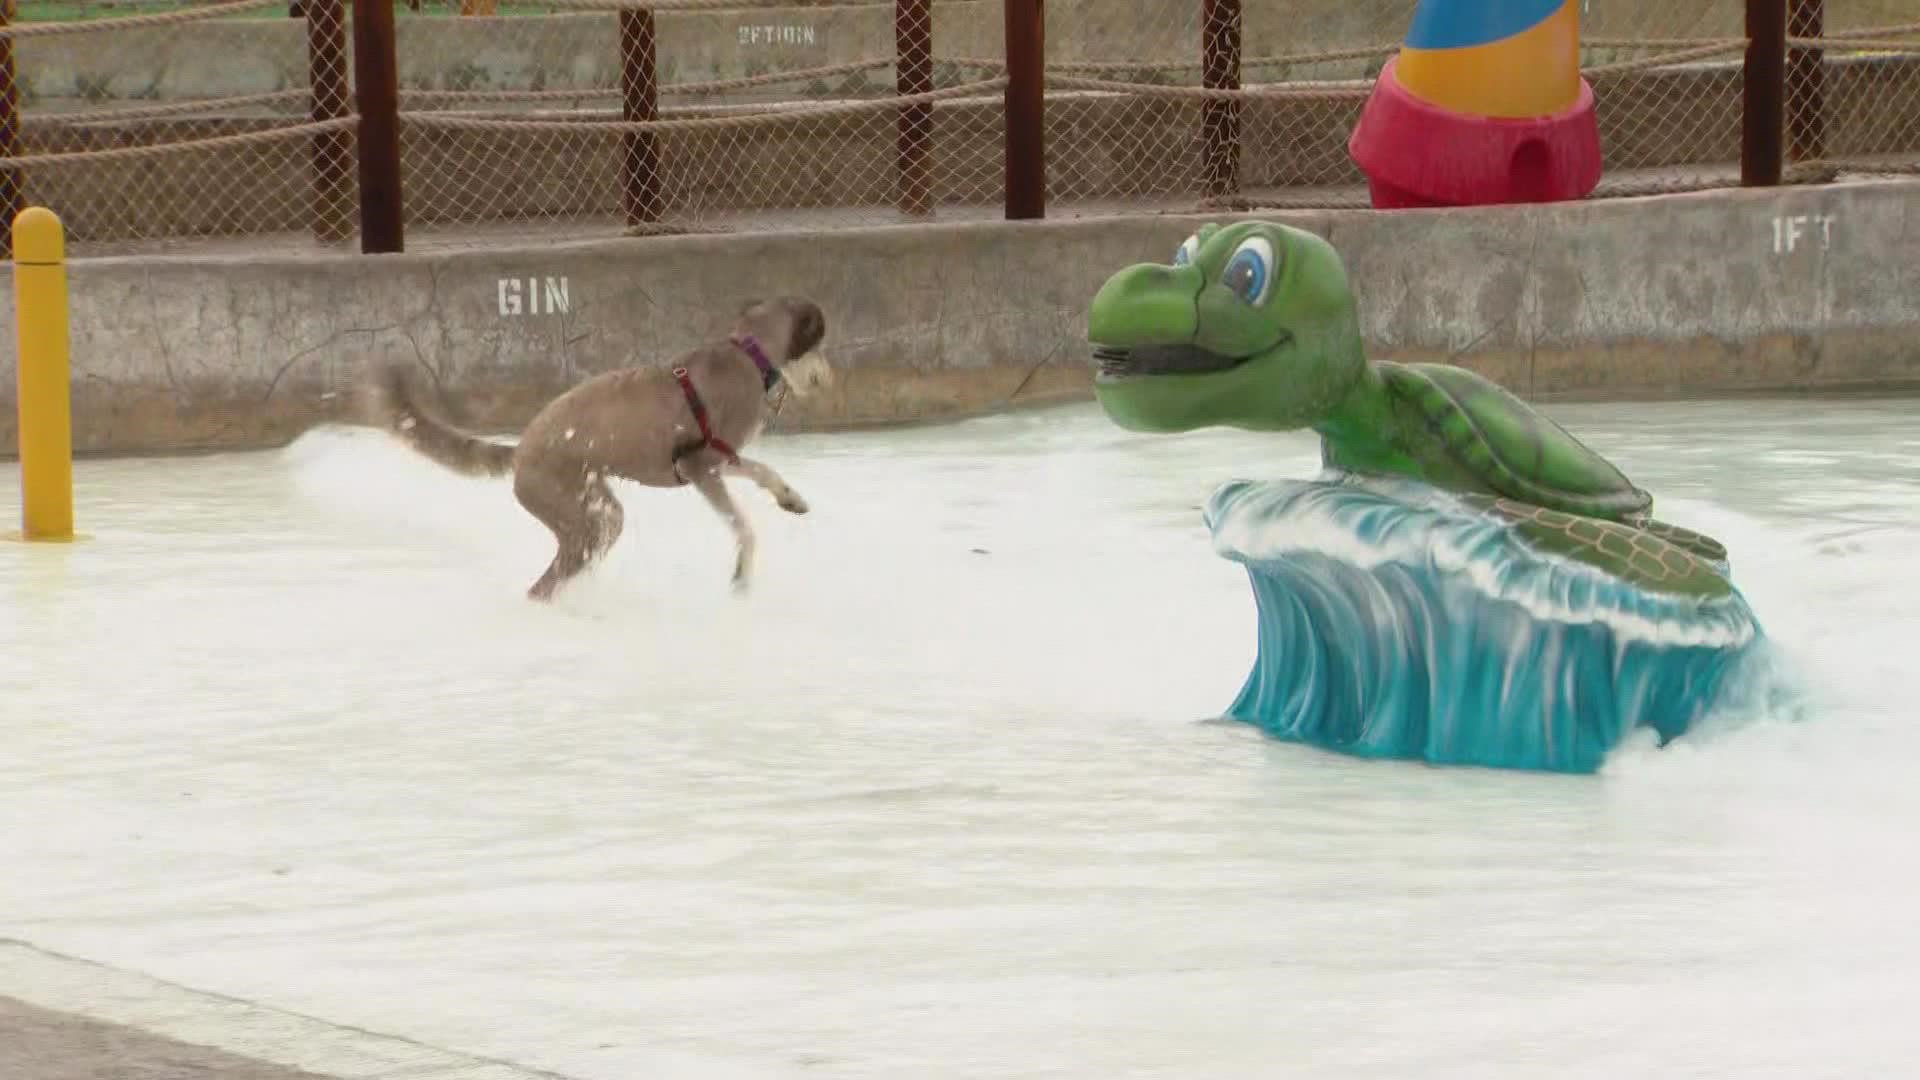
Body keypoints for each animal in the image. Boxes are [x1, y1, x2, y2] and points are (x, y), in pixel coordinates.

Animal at [362, 294, 829, 595]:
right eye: (820, 343)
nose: (828, 377)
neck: (748, 353)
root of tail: (521, 450)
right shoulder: (699, 465)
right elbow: (743, 526)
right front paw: (741, 575)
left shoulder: (718, 459)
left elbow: (763, 471)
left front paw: (792, 499)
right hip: (589, 516)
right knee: (546, 583)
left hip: (595, 505)